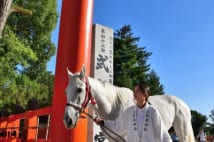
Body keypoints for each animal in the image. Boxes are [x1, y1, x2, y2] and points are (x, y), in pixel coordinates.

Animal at [63, 66, 196, 141]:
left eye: (79, 89)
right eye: (66, 90)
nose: (67, 120)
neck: (113, 108)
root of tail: (183, 104)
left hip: (182, 132)